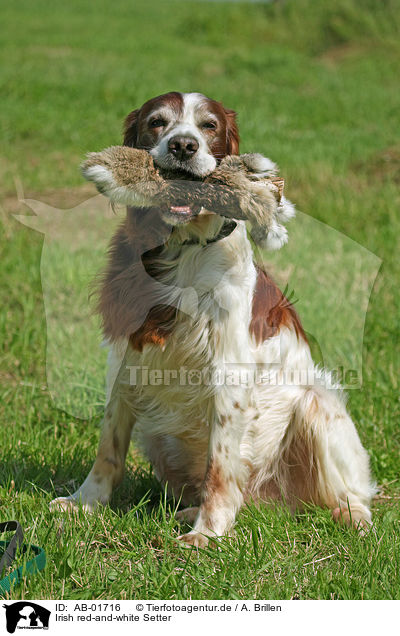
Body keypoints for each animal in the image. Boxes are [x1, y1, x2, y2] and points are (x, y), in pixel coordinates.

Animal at [50, 90, 376, 548]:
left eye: (209, 126)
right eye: (157, 121)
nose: (183, 146)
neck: (183, 249)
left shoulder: (228, 372)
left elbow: (220, 467)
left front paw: (207, 534)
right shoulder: (128, 358)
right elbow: (108, 446)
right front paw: (86, 502)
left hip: (317, 405)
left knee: (352, 493)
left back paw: (353, 519)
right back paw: (188, 510)